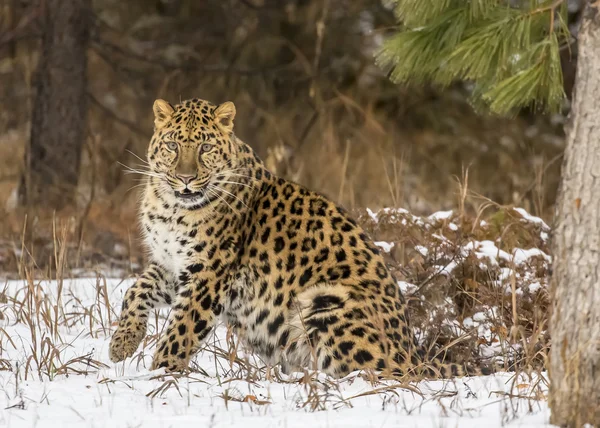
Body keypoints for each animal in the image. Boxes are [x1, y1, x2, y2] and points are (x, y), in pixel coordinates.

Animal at [109, 97, 488, 378]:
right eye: (173, 145)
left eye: (205, 148)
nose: (186, 179)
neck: (172, 206)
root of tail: (414, 352)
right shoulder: (172, 264)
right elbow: (135, 290)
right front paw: (122, 343)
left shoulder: (208, 274)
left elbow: (181, 331)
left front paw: (159, 376)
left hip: (326, 300)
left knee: (376, 373)